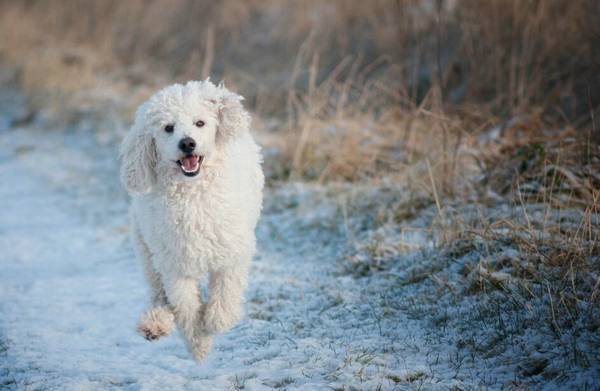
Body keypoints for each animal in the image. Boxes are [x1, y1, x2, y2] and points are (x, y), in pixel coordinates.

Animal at [119, 81, 262, 362]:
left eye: (200, 123)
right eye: (168, 127)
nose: (187, 143)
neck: (193, 193)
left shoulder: (233, 254)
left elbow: (225, 294)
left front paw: (216, 321)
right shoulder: (175, 266)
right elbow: (185, 307)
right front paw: (199, 342)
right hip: (148, 253)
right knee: (159, 294)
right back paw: (155, 322)